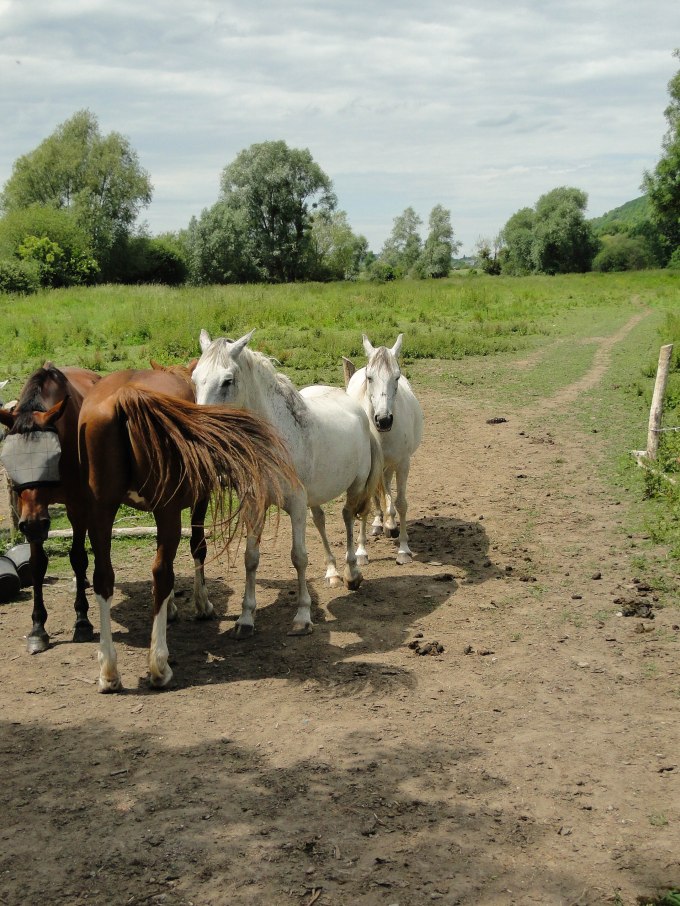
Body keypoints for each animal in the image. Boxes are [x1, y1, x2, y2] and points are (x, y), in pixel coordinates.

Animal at [0, 364, 101, 653]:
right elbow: (36, 565)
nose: (35, 525)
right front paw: (38, 628)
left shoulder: (77, 505)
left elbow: (78, 557)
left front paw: (82, 621)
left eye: (50, 459)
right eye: (11, 461)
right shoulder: (29, 513)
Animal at [78, 367, 294, 691]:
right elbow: (198, 546)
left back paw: (109, 671)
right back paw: (158, 665)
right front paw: (201, 604)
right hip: (164, 511)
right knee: (161, 572)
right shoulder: (200, 497)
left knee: (104, 578)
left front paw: (171, 608)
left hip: (101, 512)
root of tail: (126, 396)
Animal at [191, 329, 383, 637]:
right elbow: (251, 558)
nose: (202, 437)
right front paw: (246, 618)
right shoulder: (255, 505)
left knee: (350, 517)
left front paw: (303, 617)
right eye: (195, 378)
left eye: (227, 381)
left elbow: (299, 557)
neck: (275, 440)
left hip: (355, 486)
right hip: (314, 498)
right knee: (321, 520)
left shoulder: (295, 504)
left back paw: (352, 573)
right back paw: (332, 572)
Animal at [345, 334, 423, 565]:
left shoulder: (403, 464)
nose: (384, 420)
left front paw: (404, 549)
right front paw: (361, 552)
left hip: (389, 465)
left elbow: (401, 503)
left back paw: (390, 524)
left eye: (396, 377)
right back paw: (380, 523)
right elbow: (366, 502)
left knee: (386, 487)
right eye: (370, 377)